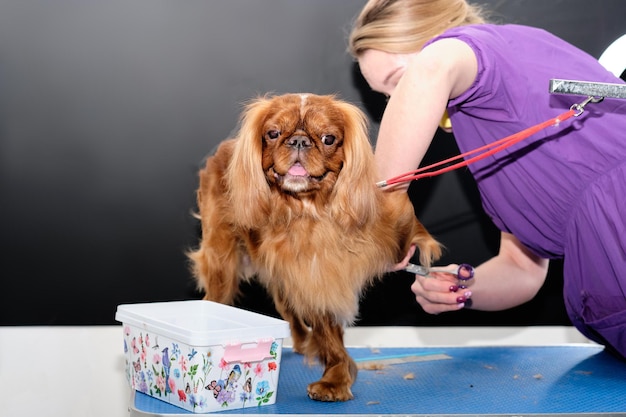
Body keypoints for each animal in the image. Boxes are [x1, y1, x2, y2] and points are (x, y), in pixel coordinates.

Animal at [186, 93, 438, 400]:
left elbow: (408, 232)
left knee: (288, 311)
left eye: (328, 139)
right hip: (222, 261)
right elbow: (328, 333)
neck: (312, 210)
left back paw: (302, 341)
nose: (298, 141)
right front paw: (337, 377)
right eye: (273, 134)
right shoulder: (311, 276)